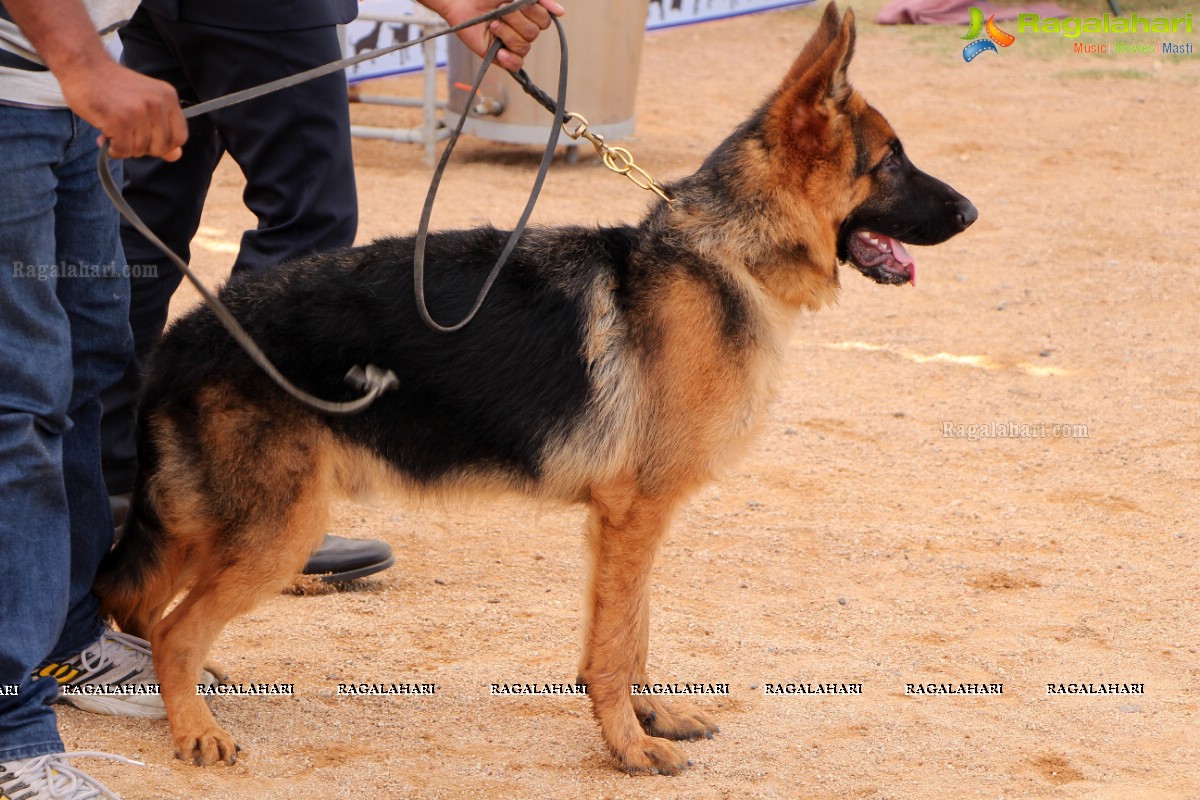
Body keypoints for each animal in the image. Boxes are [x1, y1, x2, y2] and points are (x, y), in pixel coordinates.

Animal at [93, 3, 974, 772]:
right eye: (892, 159)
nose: (970, 211)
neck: (723, 251)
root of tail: (183, 337)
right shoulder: (635, 514)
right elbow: (615, 645)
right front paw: (627, 748)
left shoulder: (628, 521)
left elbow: (632, 630)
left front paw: (650, 718)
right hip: (277, 530)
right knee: (171, 626)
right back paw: (196, 730)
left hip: (214, 525)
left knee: (133, 601)